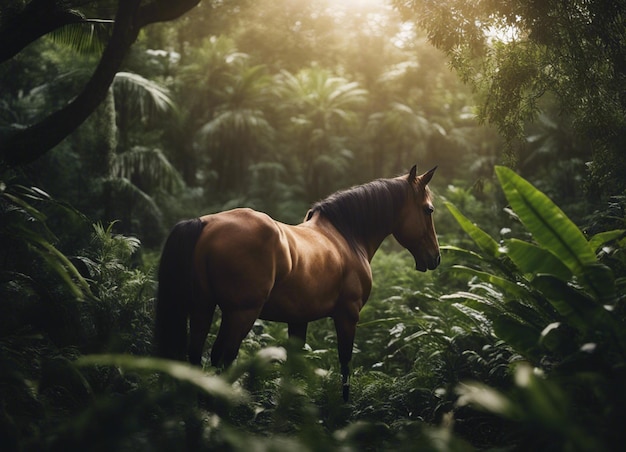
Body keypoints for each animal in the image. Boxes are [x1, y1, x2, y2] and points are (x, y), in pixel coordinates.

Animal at [155, 165, 438, 400]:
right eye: (429, 209)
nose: (435, 257)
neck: (346, 236)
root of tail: (206, 223)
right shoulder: (348, 314)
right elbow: (345, 363)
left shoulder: (298, 320)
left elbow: (295, 366)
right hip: (240, 314)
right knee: (223, 359)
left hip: (203, 308)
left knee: (195, 358)